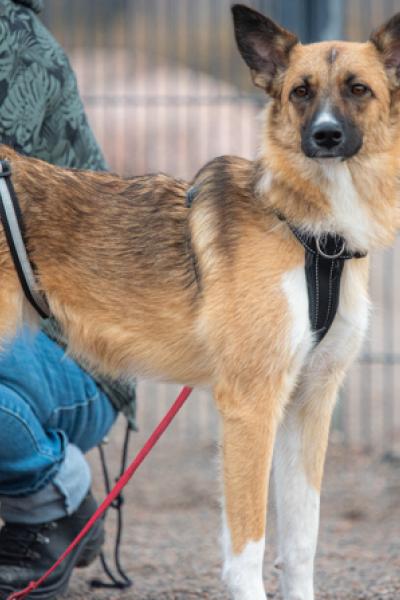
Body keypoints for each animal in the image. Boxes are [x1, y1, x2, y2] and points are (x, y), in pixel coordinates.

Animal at [0, 4, 399, 599]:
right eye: (300, 92)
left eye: (358, 89)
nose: (325, 136)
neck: (311, 236)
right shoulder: (251, 406)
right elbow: (248, 550)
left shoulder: (310, 405)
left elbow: (300, 545)